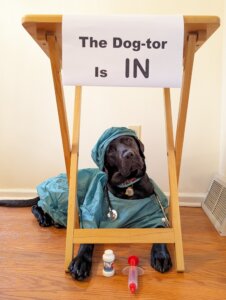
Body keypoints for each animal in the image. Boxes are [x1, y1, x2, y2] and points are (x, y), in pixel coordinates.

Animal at [0, 135, 172, 280]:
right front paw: (80, 261)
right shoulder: (90, 213)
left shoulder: (155, 214)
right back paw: (44, 218)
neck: (129, 187)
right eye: (110, 150)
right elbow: (87, 237)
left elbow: (161, 230)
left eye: (128, 140)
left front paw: (161, 256)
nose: (129, 154)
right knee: (37, 205)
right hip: (65, 195)